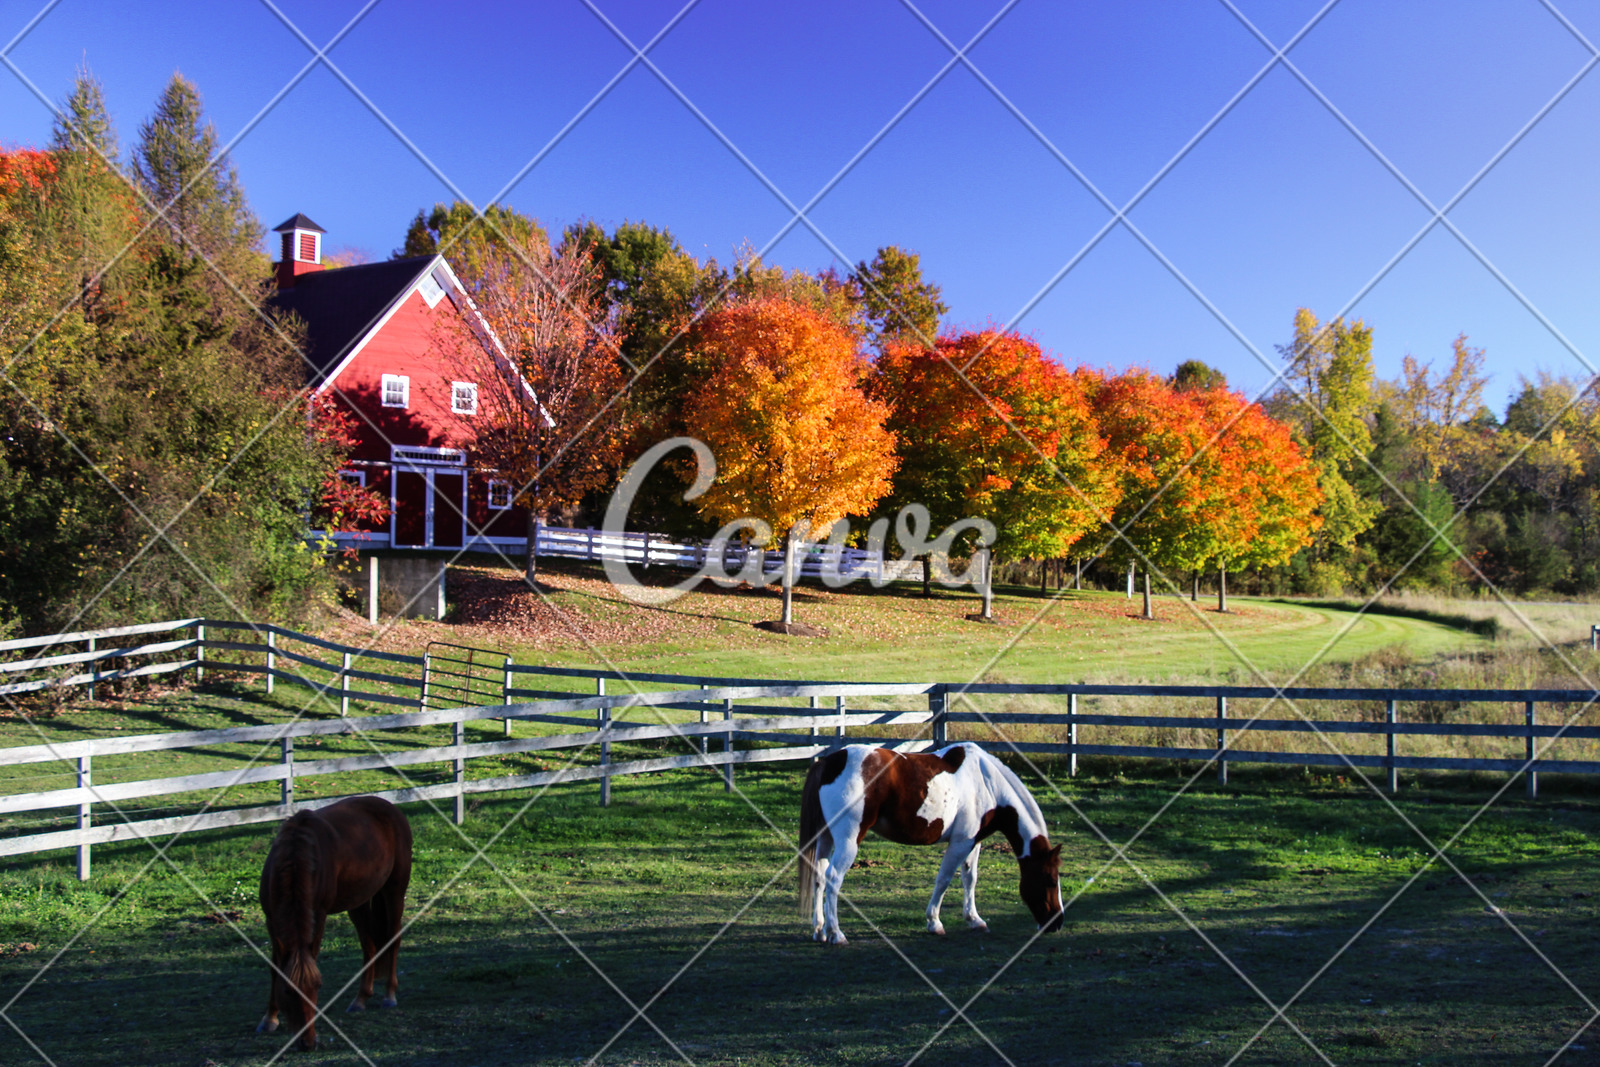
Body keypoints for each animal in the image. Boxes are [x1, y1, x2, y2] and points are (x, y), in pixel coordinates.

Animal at [256, 793, 412, 1049]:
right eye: (288, 991)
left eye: (317, 987)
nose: (308, 1043)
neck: (295, 856)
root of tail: (390, 807)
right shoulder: (271, 919)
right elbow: (274, 967)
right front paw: (269, 1018)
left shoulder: (318, 915)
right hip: (359, 901)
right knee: (369, 946)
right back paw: (360, 998)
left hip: (394, 890)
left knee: (393, 939)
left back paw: (389, 995)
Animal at [800, 742, 1062, 940]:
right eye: (1050, 879)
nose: (1057, 922)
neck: (987, 782)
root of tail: (829, 762)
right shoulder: (960, 843)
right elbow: (944, 879)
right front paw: (934, 922)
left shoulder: (973, 842)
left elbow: (970, 879)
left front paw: (974, 919)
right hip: (848, 841)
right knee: (834, 878)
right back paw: (836, 933)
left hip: (825, 838)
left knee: (820, 876)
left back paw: (820, 931)